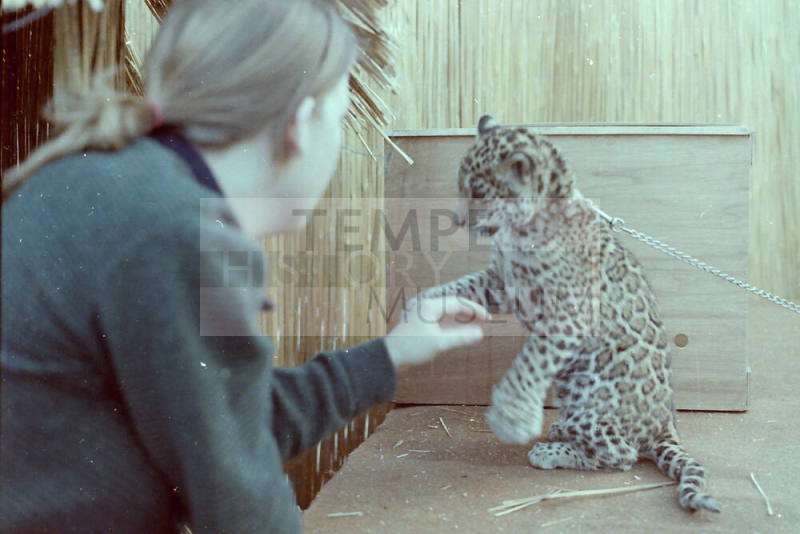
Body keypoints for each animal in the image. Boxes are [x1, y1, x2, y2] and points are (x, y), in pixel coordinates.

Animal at [409, 115, 720, 513]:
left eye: (478, 192)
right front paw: (425, 304)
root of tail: (665, 425)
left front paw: (511, 417)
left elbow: (527, 367)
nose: (457, 220)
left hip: (589, 396)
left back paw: (552, 450)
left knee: (621, 455)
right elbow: (465, 285)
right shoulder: (502, 283)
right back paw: (561, 432)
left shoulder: (566, 317)